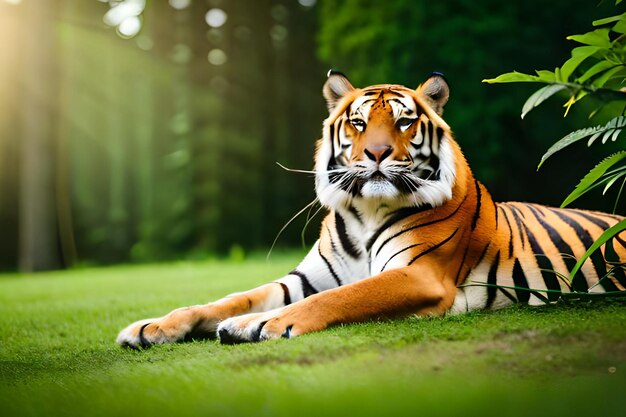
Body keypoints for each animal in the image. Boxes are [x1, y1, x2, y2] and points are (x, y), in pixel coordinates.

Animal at [117, 70, 624, 346]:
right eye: (359, 123)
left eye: (403, 122)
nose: (377, 153)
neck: (365, 211)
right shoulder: (302, 279)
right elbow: (225, 299)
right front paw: (150, 327)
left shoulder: (418, 274)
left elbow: (341, 297)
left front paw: (258, 323)